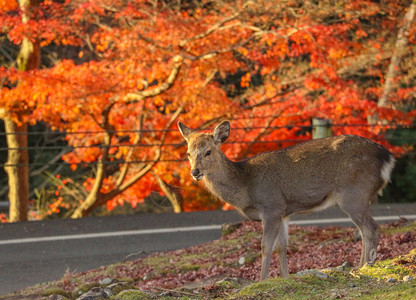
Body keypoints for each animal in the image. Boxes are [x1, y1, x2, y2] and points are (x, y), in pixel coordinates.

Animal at [177, 120, 394, 280]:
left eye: (208, 151)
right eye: (188, 153)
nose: (195, 172)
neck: (246, 186)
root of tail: (388, 158)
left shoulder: (271, 206)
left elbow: (265, 247)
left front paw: (262, 280)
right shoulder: (284, 212)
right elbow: (282, 247)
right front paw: (284, 278)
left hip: (354, 194)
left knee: (371, 229)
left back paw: (366, 267)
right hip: (357, 197)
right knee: (364, 231)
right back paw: (358, 266)